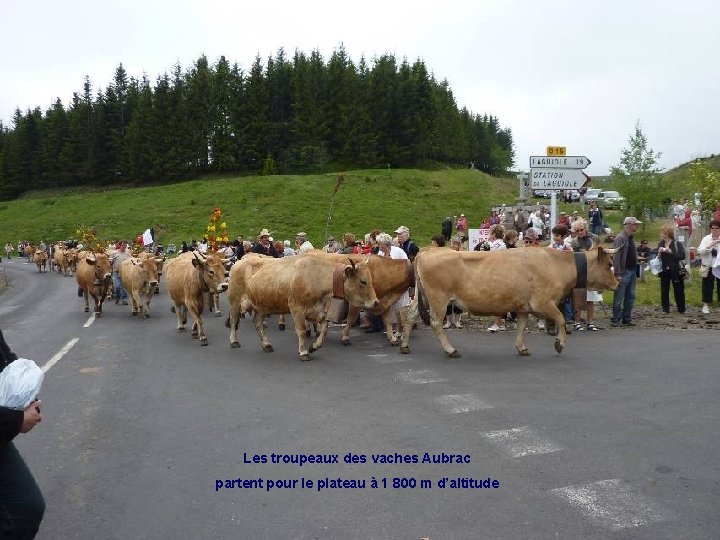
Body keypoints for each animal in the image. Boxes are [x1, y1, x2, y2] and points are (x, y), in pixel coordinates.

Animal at [228, 252, 380, 360]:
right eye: (363, 281)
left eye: (371, 280)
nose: (376, 302)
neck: (317, 278)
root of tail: (240, 261)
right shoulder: (297, 308)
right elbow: (301, 331)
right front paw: (304, 352)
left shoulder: (317, 311)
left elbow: (324, 329)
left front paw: (314, 346)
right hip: (235, 299)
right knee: (234, 320)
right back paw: (234, 341)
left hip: (262, 305)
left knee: (258, 323)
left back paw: (266, 345)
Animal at [400, 247, 620, 356]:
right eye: (609, 264)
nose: (618, 283)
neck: (557, 263)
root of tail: (427, 251)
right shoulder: (543, 303)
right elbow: (561, 320)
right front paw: (559, 344)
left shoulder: (523, 306)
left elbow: (521, 326)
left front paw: (522, 348)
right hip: (439, 298)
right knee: (436, 323)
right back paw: (450, 350)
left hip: (423, 296)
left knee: (409, 317)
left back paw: (404, 345)